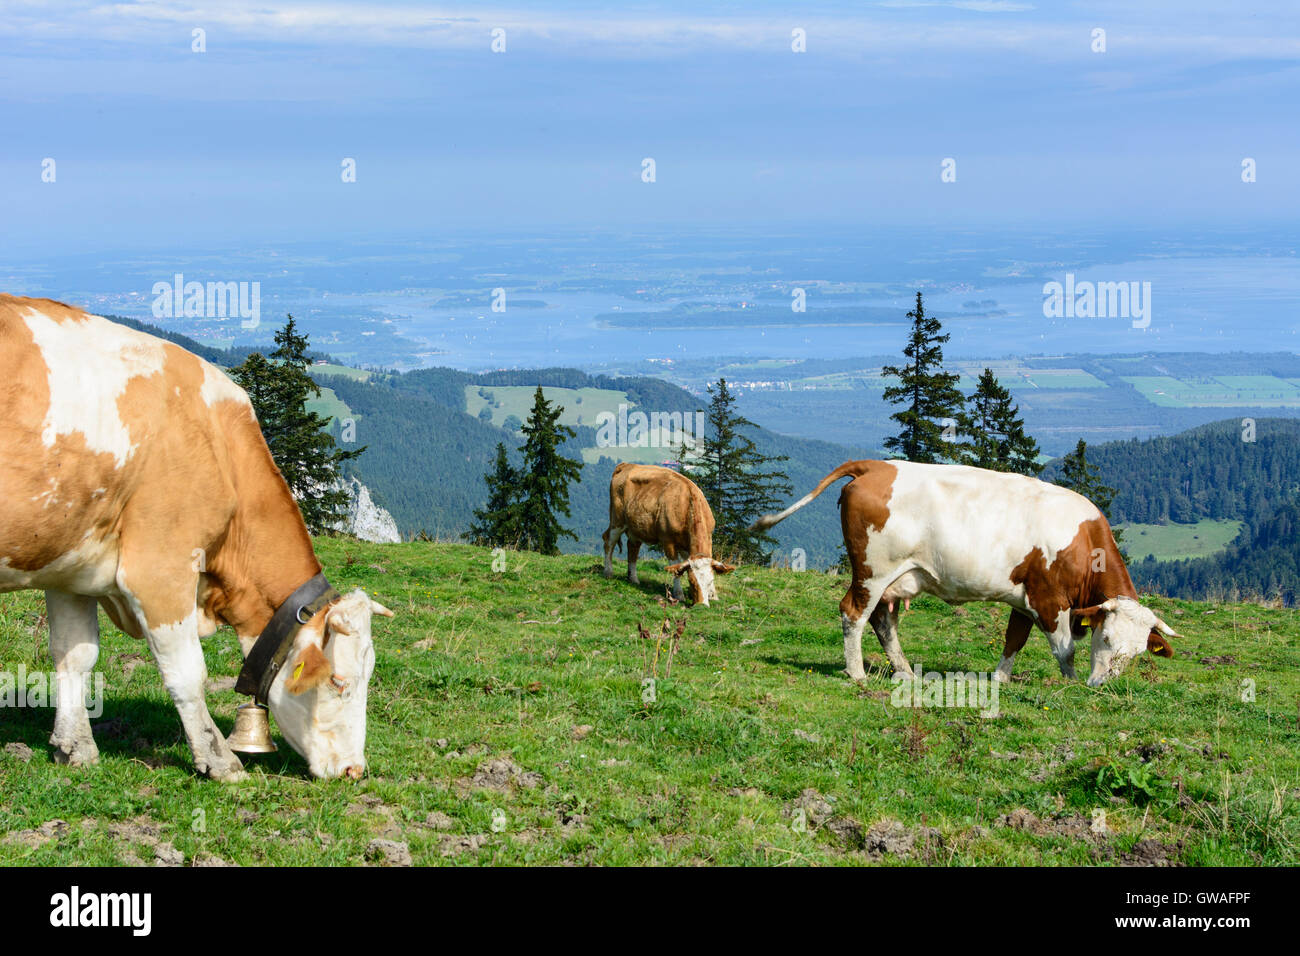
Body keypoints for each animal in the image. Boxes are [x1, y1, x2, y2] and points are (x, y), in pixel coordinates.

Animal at [2, 295, 392, 780]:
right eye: (340, 682)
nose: (355, 770)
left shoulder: (72, 569)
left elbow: (74, 655)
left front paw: (74, 747)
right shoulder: (159, 569)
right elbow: (188, 673)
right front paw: (219, 759)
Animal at [598, 463, 733, 606]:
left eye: (711, 581)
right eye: (691, 581)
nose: (701, 606)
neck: (687, 505)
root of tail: (627, 465)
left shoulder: (705, 538)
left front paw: (713, 595)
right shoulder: (668, 540)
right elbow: (676, 568)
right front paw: (679, 594)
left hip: (635, 526)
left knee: (632, 548)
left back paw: (633, 578)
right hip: (617, 520)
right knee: (608, 541)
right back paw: (608, 572)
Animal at [754, 460, 1180, 686]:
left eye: (1139, 653)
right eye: (1105, 637)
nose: (1101, 685)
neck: (1084, 540)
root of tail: (876, 464)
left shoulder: (1024, 598)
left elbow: (1014, 640)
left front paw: (1001, 679)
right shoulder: (1049, 599)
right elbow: (1065, 649)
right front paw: (1071, 683)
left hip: (893, 579)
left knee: (883, 620)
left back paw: (905, 671)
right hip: (873, 570)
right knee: (853, 613)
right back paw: (857, 673)